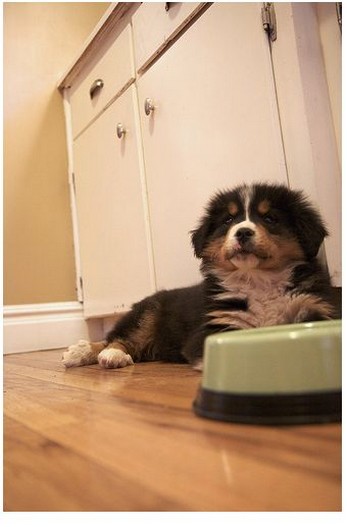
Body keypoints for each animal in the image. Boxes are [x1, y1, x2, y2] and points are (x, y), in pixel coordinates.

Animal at [63, 184, 338, 370]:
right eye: (229, 220)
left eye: (270, 218)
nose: (242, 232)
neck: (257, 279)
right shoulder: (214, 326)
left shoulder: (314, 306)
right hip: (147, 314)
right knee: (116, 339)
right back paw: (91, 353)